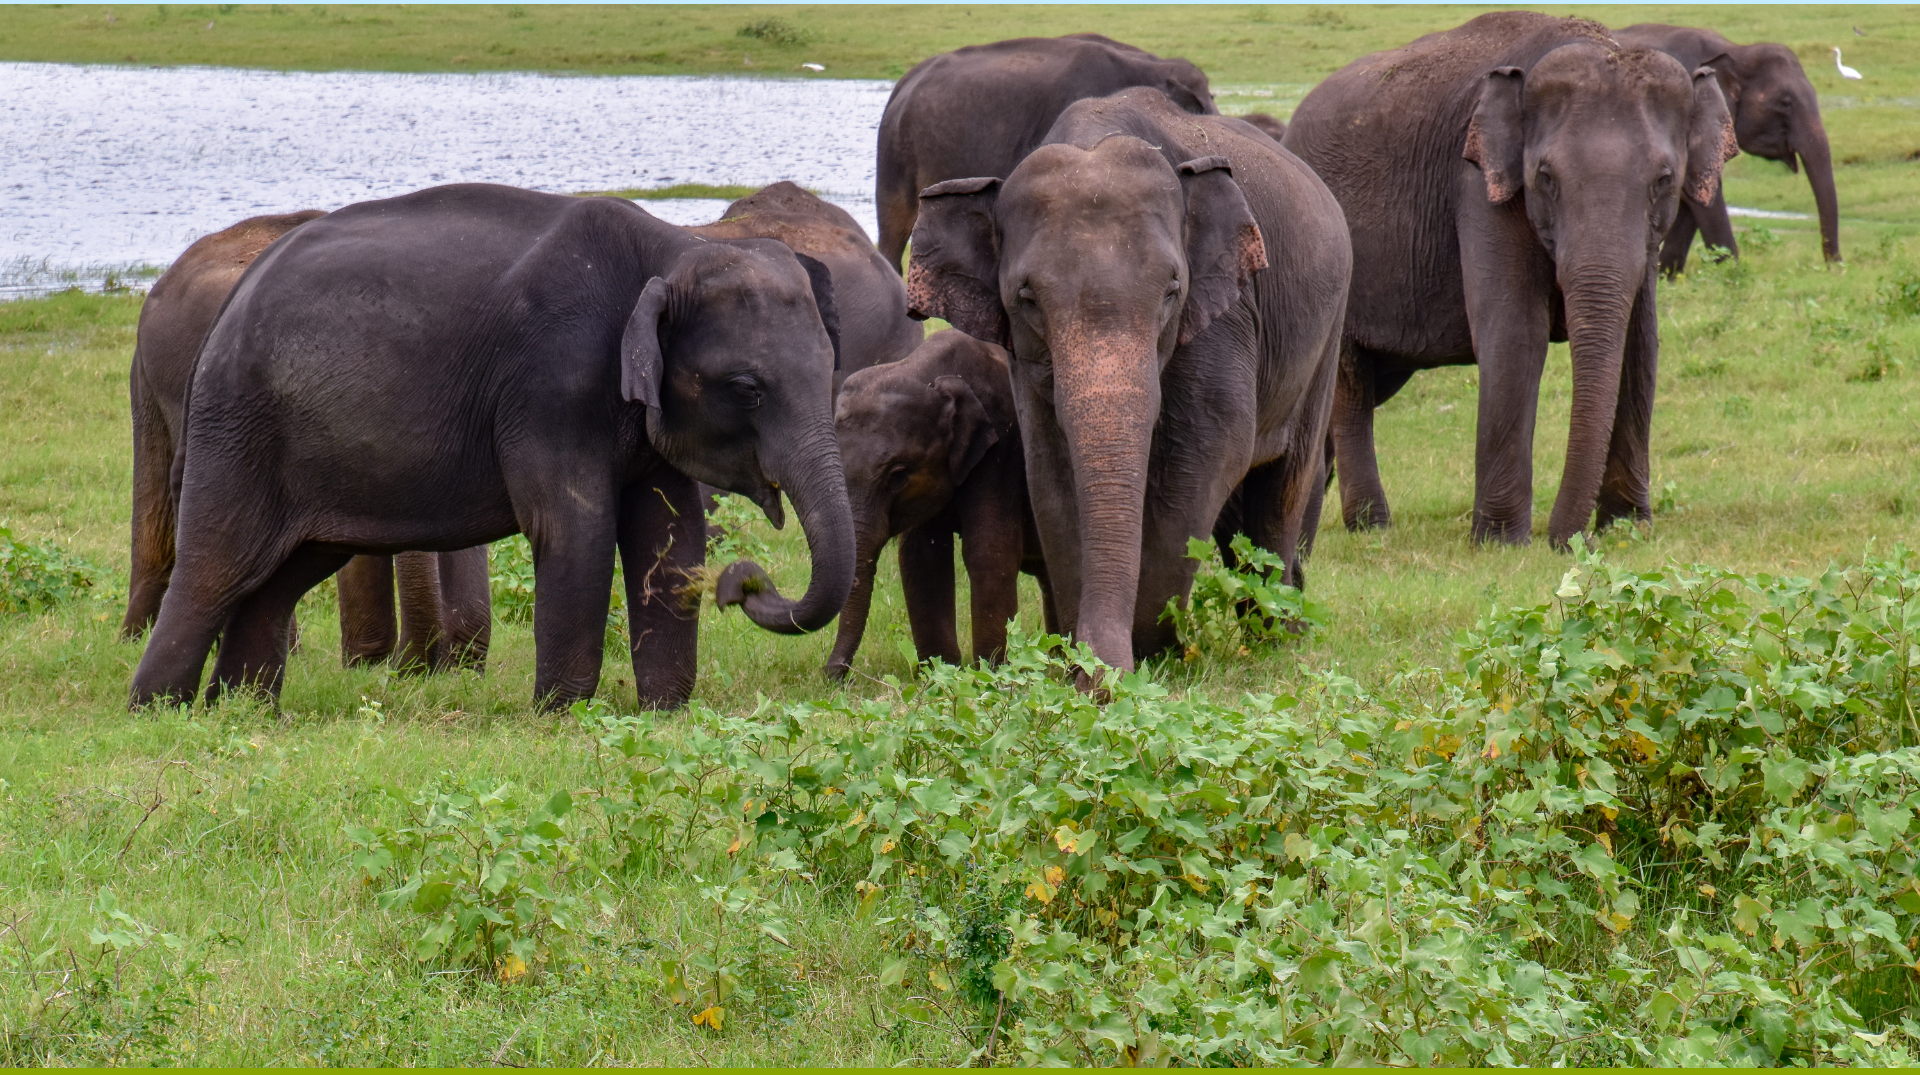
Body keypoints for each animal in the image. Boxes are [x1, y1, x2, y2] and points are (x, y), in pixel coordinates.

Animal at [826, 329, 1054, 680]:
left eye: (897, 474)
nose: (834, 676)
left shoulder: (1002, 450)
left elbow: (990, 551)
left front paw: (990, 676)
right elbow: (923, 558)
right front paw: (941, 673)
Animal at [907, 87, 1351, 675]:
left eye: (1171, 289)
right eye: (1027, 297)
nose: (1096, 680)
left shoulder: (1225, 317)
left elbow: (1206, 450)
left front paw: (1146, 652)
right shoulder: (1024, 359)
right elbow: (1049, 469)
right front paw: (1083, 656)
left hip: (1328, 332)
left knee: (1282, 490)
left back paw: (1278, 635)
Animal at [1284, 12, 1738, 548]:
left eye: (1664, 180)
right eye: (1546, 177)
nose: (1567, 544)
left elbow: (1640, 343)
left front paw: (1627, 528)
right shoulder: (1479, 186)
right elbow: (1515, 331)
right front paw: (1500, 542)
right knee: (1351, 384)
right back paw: (1370, 528)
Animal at [1614, 23, 1841, 273]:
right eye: (1785, 102)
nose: (1836, 270)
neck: (1736, 51)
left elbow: (1701, 192)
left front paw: (1668, 276)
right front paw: (1732, 273)